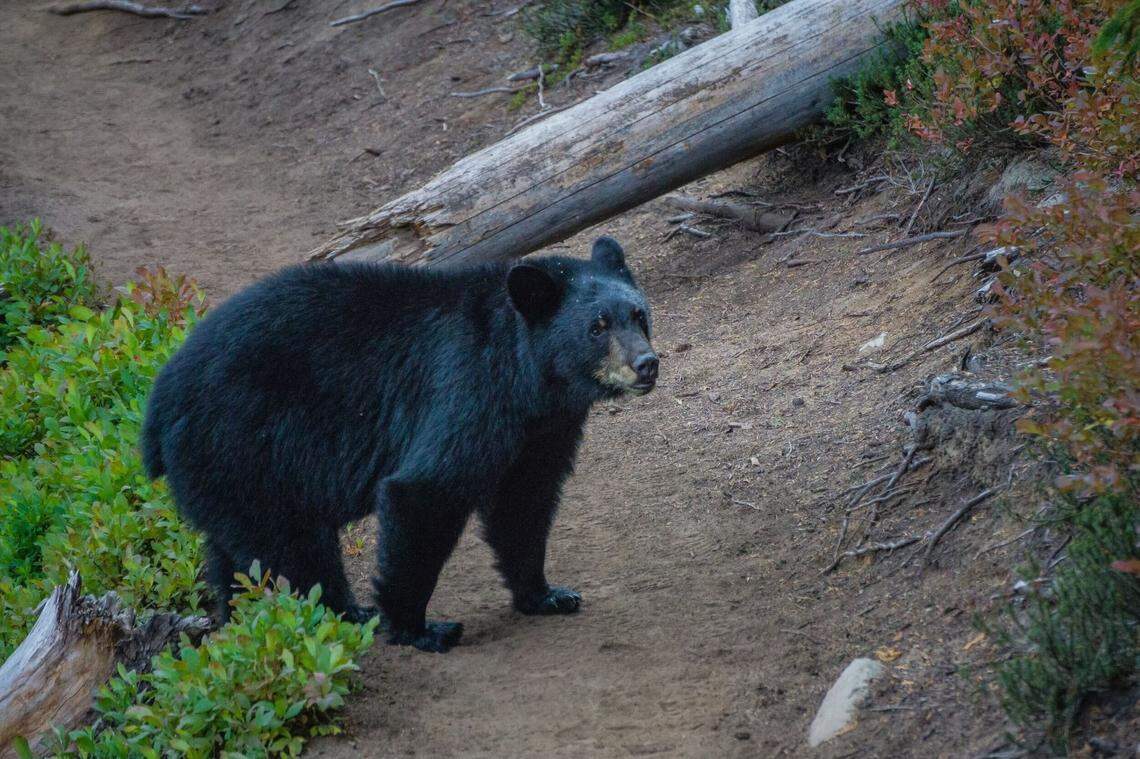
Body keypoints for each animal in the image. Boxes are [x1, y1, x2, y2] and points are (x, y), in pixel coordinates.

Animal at [141, 236, 658, 652]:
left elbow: (524, 500)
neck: (528, 380)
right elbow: (425, 491)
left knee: (237, 557)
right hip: (246, 446)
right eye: (597, 326)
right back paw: (346, 614)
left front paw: (547, 594)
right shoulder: (466, 391)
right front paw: (420, 628)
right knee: (292, 547)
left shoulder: (543, 428)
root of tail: (157, 404)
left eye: (640, 315)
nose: (646, 364)